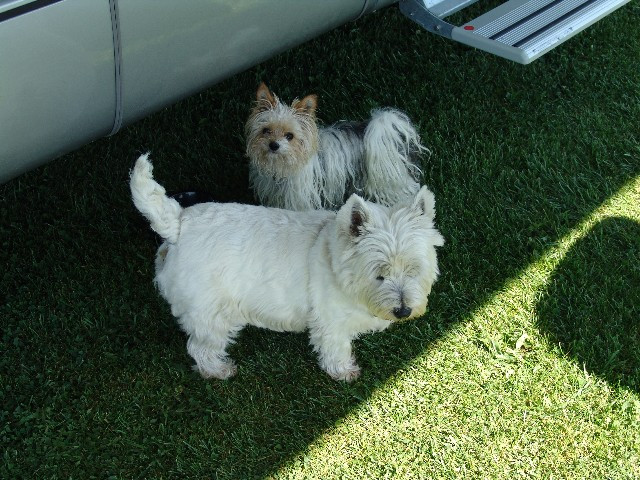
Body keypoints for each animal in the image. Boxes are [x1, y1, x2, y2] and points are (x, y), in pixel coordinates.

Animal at [130, 154, 444, 381]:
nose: (403, 311)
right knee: (200, 346)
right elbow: (336, 347)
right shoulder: (330, 321)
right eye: (379, 275)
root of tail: (179, 223)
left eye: (414, 270)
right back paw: (218, 370)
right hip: (211, 311)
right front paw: (344, 372)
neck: (336, 259)